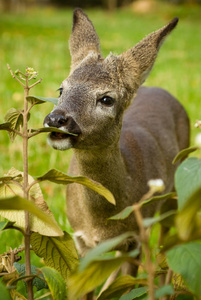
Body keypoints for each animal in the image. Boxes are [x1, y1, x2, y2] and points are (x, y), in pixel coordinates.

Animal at [43, 7, 189, 286]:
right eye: (61, 88)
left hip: (175, 191)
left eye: (106, 99)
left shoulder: (134, 238)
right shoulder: (81, 241)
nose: (56, 119)